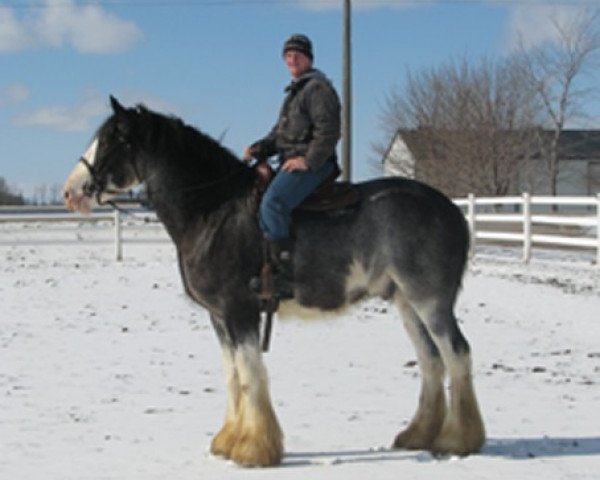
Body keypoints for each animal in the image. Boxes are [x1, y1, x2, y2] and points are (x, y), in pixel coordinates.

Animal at [63, 95, 486, 466]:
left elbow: (250, 375)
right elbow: (232, 374)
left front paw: (253, 450)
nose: (70, 193)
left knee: (457, 352)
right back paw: (419, 435)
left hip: (430, 302)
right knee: (431, 359)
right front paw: (228, 441)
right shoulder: (219, 316)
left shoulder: (240, 311)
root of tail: (451, 210)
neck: (214, 211)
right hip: (406, 304)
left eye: (114, 139)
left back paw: (458, 439)